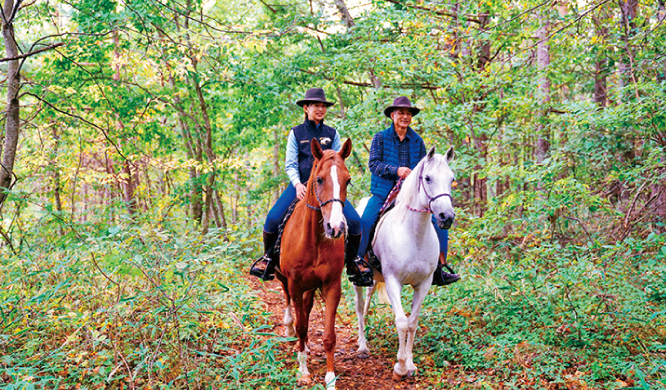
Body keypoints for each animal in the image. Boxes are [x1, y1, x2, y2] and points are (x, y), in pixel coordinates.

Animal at [272, 138, 352, 390]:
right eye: (319, 179)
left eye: (348, 180)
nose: (335, 227)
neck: (315, 240)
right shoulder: (295, 283)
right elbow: (301, 326)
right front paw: (303, 371)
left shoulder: (331, 285)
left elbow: (328, 336)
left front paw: (330, 379)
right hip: (284, 278)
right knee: (291, 305)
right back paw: (290, 330)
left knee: (306, 310)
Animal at [352, 145, 456, 380]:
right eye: (428, 178)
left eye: (451, 178)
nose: (446, 216)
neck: (414, 234)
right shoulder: (393, 281)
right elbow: (401, 322)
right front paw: (399, 366)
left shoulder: (424, 284)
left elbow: (412, 322)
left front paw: (409, 364)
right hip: (357, 279)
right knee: (360, 306)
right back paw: (362, 346)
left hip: (375, 278)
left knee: (369, 299)